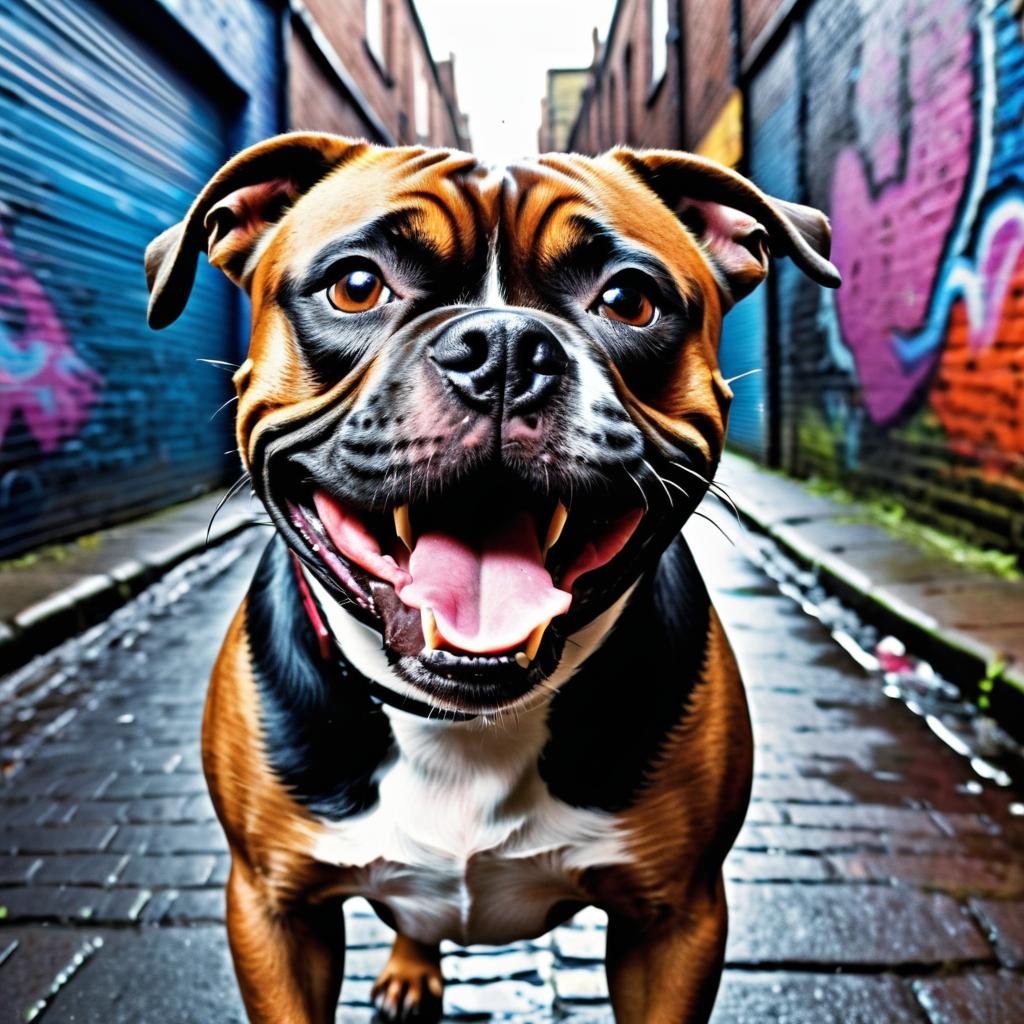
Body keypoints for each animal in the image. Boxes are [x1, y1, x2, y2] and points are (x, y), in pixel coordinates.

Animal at [142, 132, 839, 1019]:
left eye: (630, 300)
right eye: (356, 285)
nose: (505, 345)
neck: (465, 726)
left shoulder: (675, 921)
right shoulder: (274, 913)